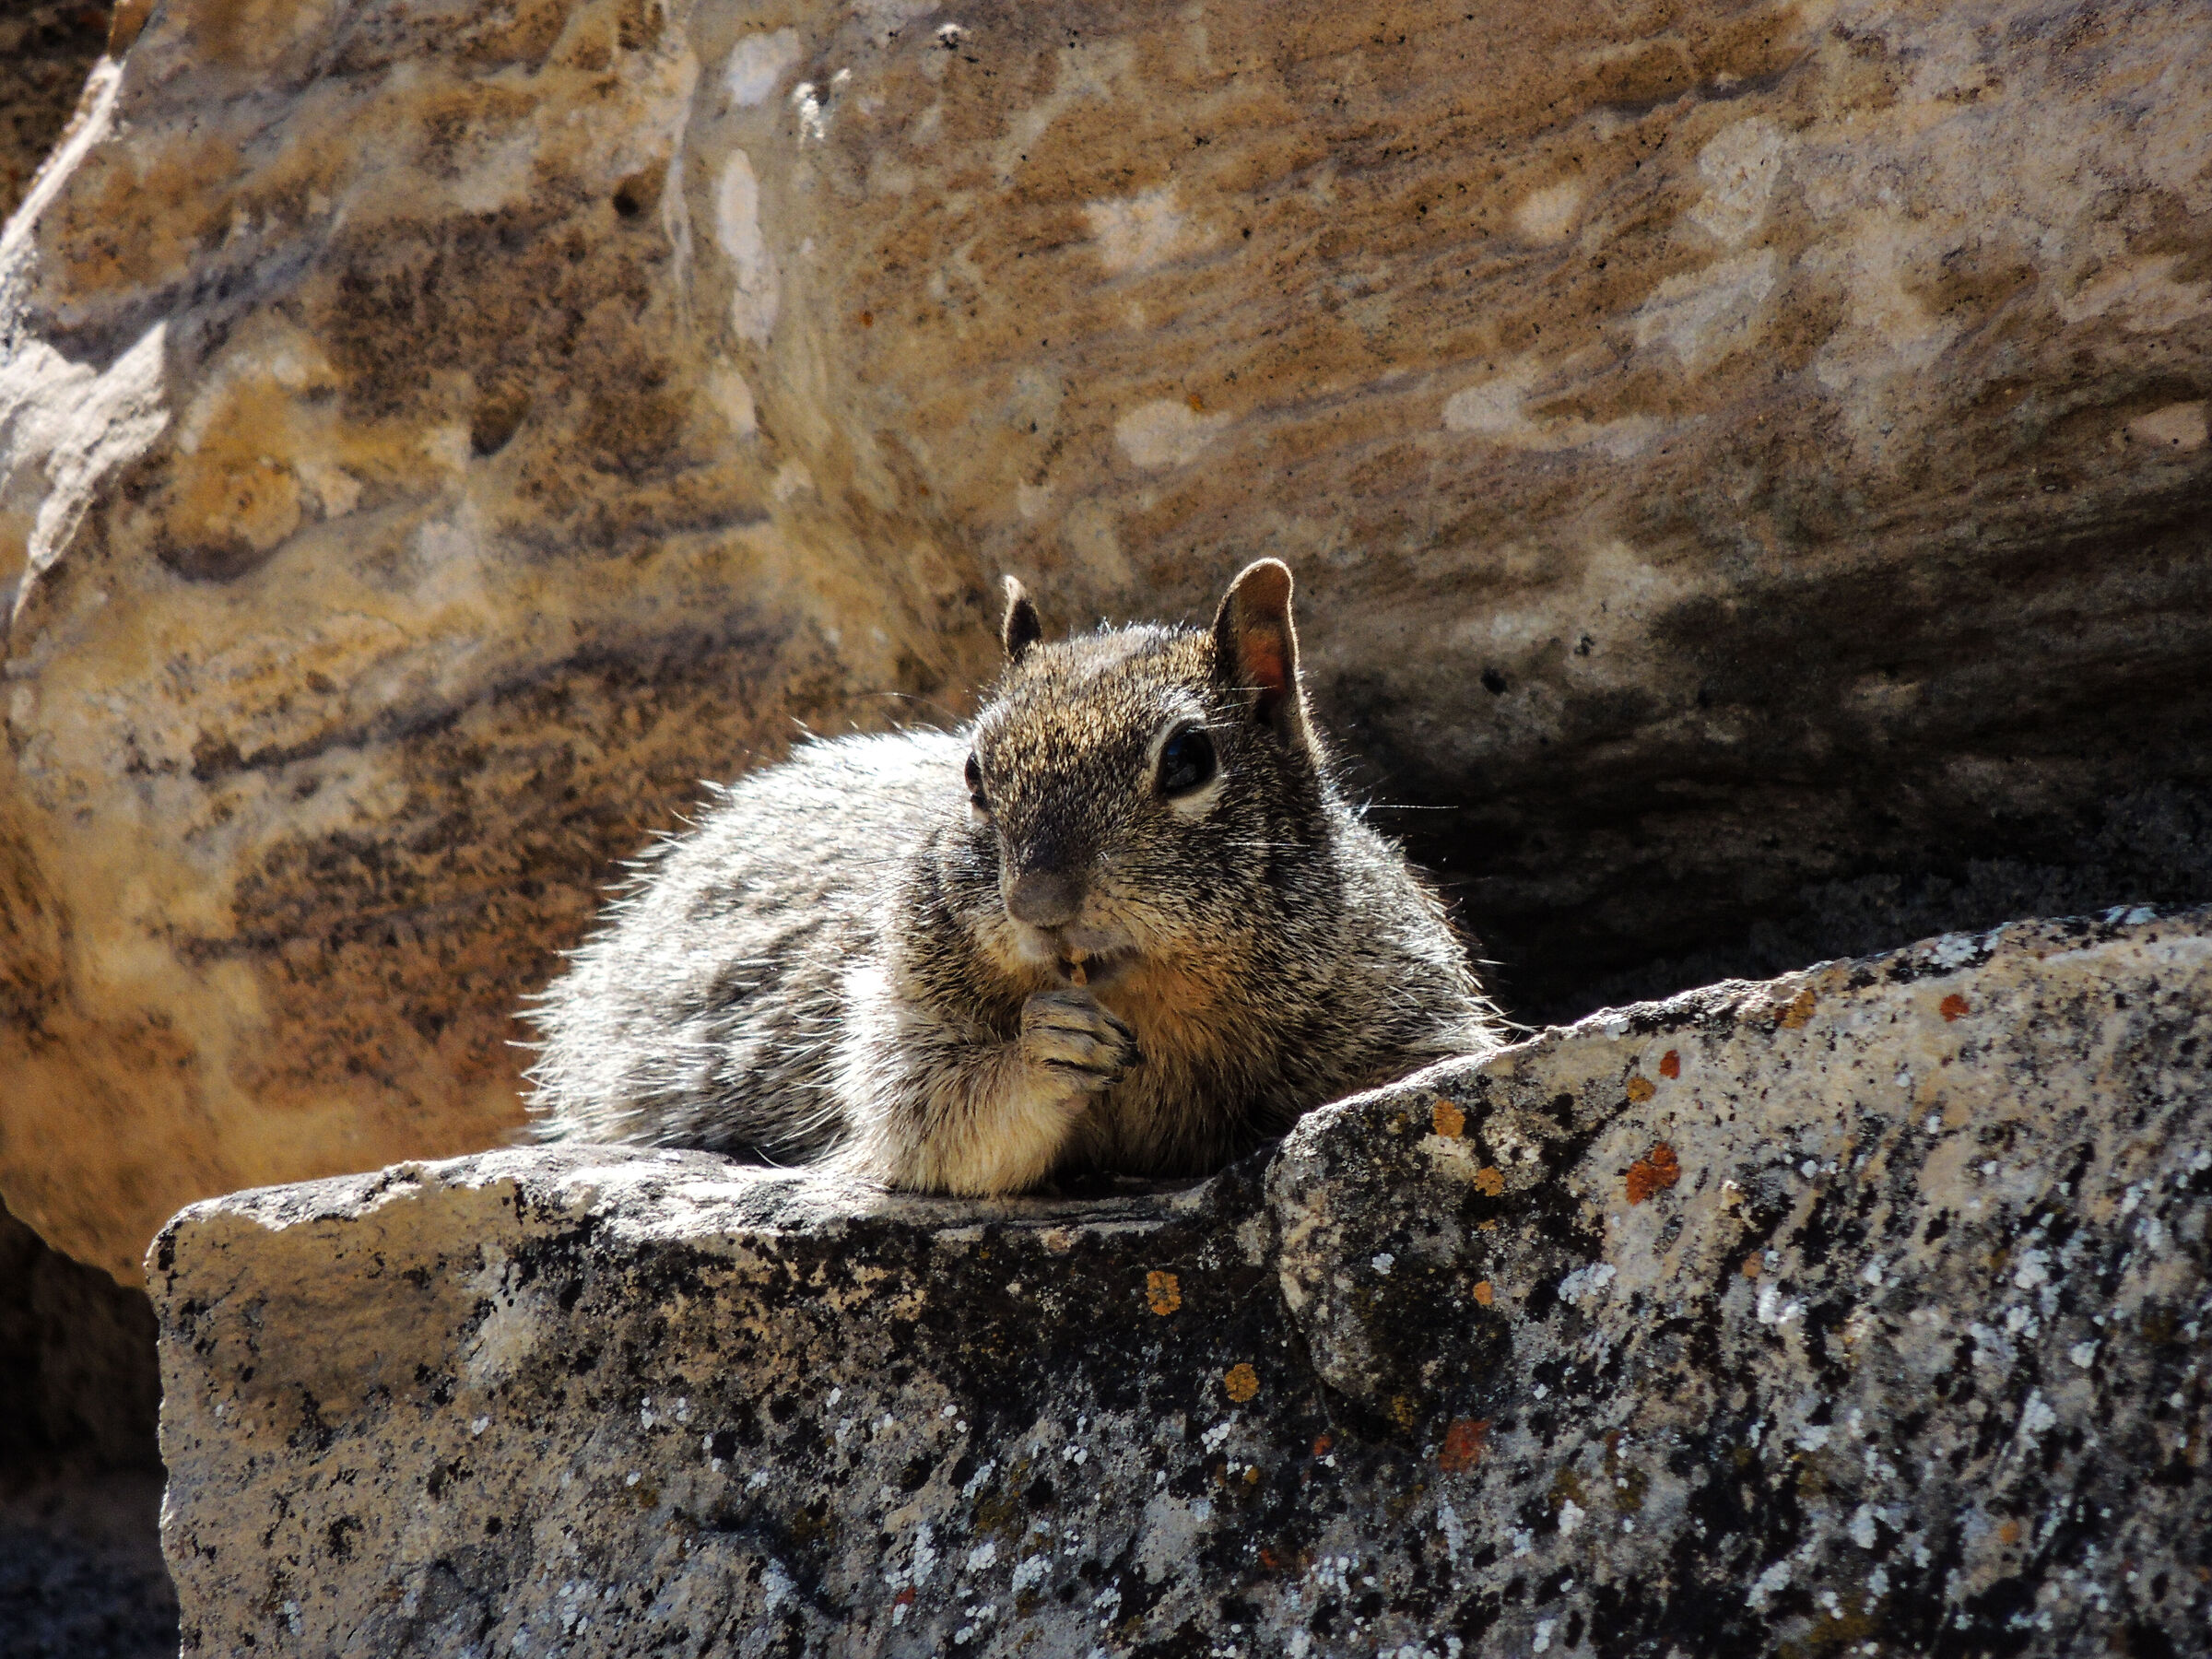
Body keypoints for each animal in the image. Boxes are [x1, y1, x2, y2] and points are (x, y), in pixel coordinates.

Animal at [523, 560, 1504, 1195]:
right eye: (972, 774)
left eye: (1189, 759)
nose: (1038, 904)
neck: (1149, 1003)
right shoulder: (898, 1010)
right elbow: (936, 1123)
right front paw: (1046, 1047)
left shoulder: (1403, 1017)